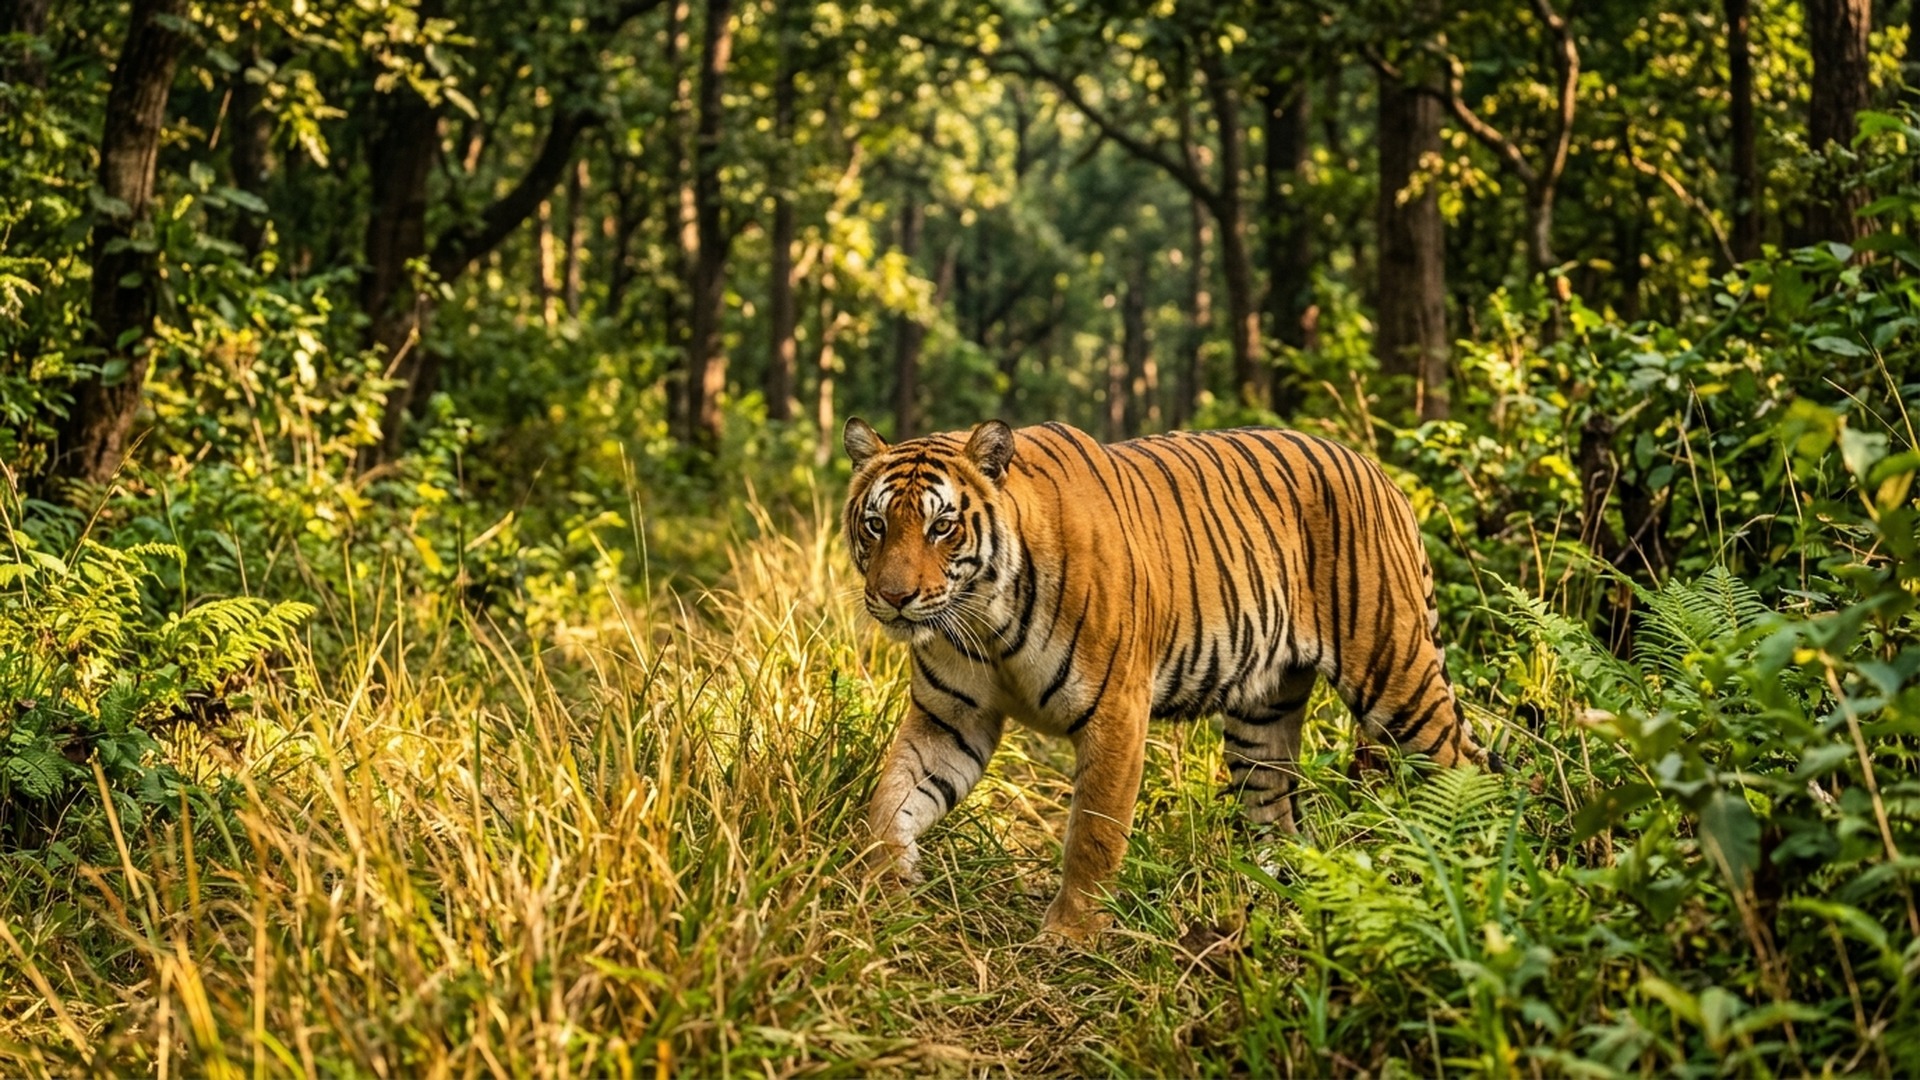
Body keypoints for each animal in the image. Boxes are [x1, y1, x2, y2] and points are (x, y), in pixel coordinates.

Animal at [841, 417, 1499, 940]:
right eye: (876, 525)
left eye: (942, 527)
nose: (893, 597)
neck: (985, 617)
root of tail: (1381, 474)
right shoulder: (950, 720)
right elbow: (890, 802)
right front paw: (883, 893)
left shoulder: (1114, 713)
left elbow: (1094, 833)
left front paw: (1071, 935)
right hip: (1262, 720)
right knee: (1277, 816)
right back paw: (1266, 904)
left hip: (1396, 675)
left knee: (1467, 768)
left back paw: (1468, 878)